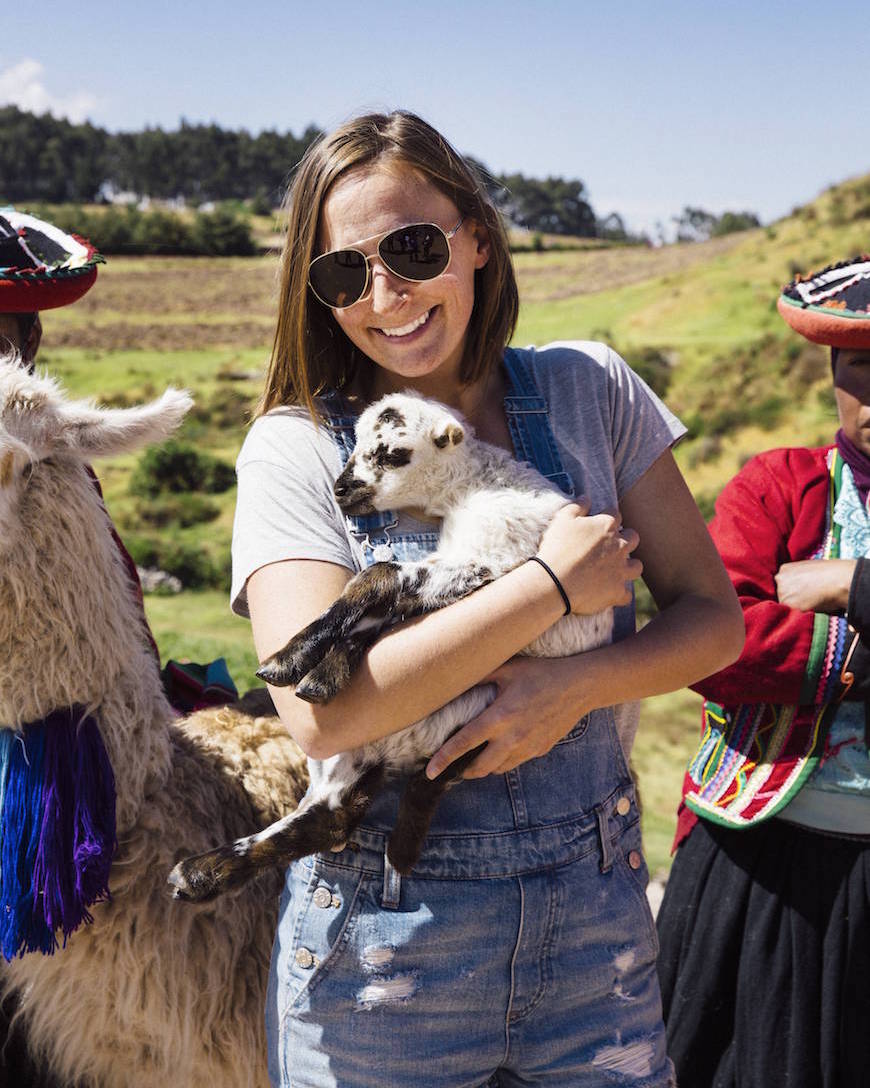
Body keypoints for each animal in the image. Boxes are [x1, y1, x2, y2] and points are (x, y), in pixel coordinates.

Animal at [169, 391, 613, 900]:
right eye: (354, 443)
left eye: (392, 454)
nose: (341, 489)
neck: (474, 485)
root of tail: (395, 749)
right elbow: (375, 611)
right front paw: (308, 668)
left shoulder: (488, 562)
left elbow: (378, 578)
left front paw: (290, 663)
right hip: (350, 750)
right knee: (331, 817)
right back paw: (200, 873)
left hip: (487, 719)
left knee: (415, 785)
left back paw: (400, 849)